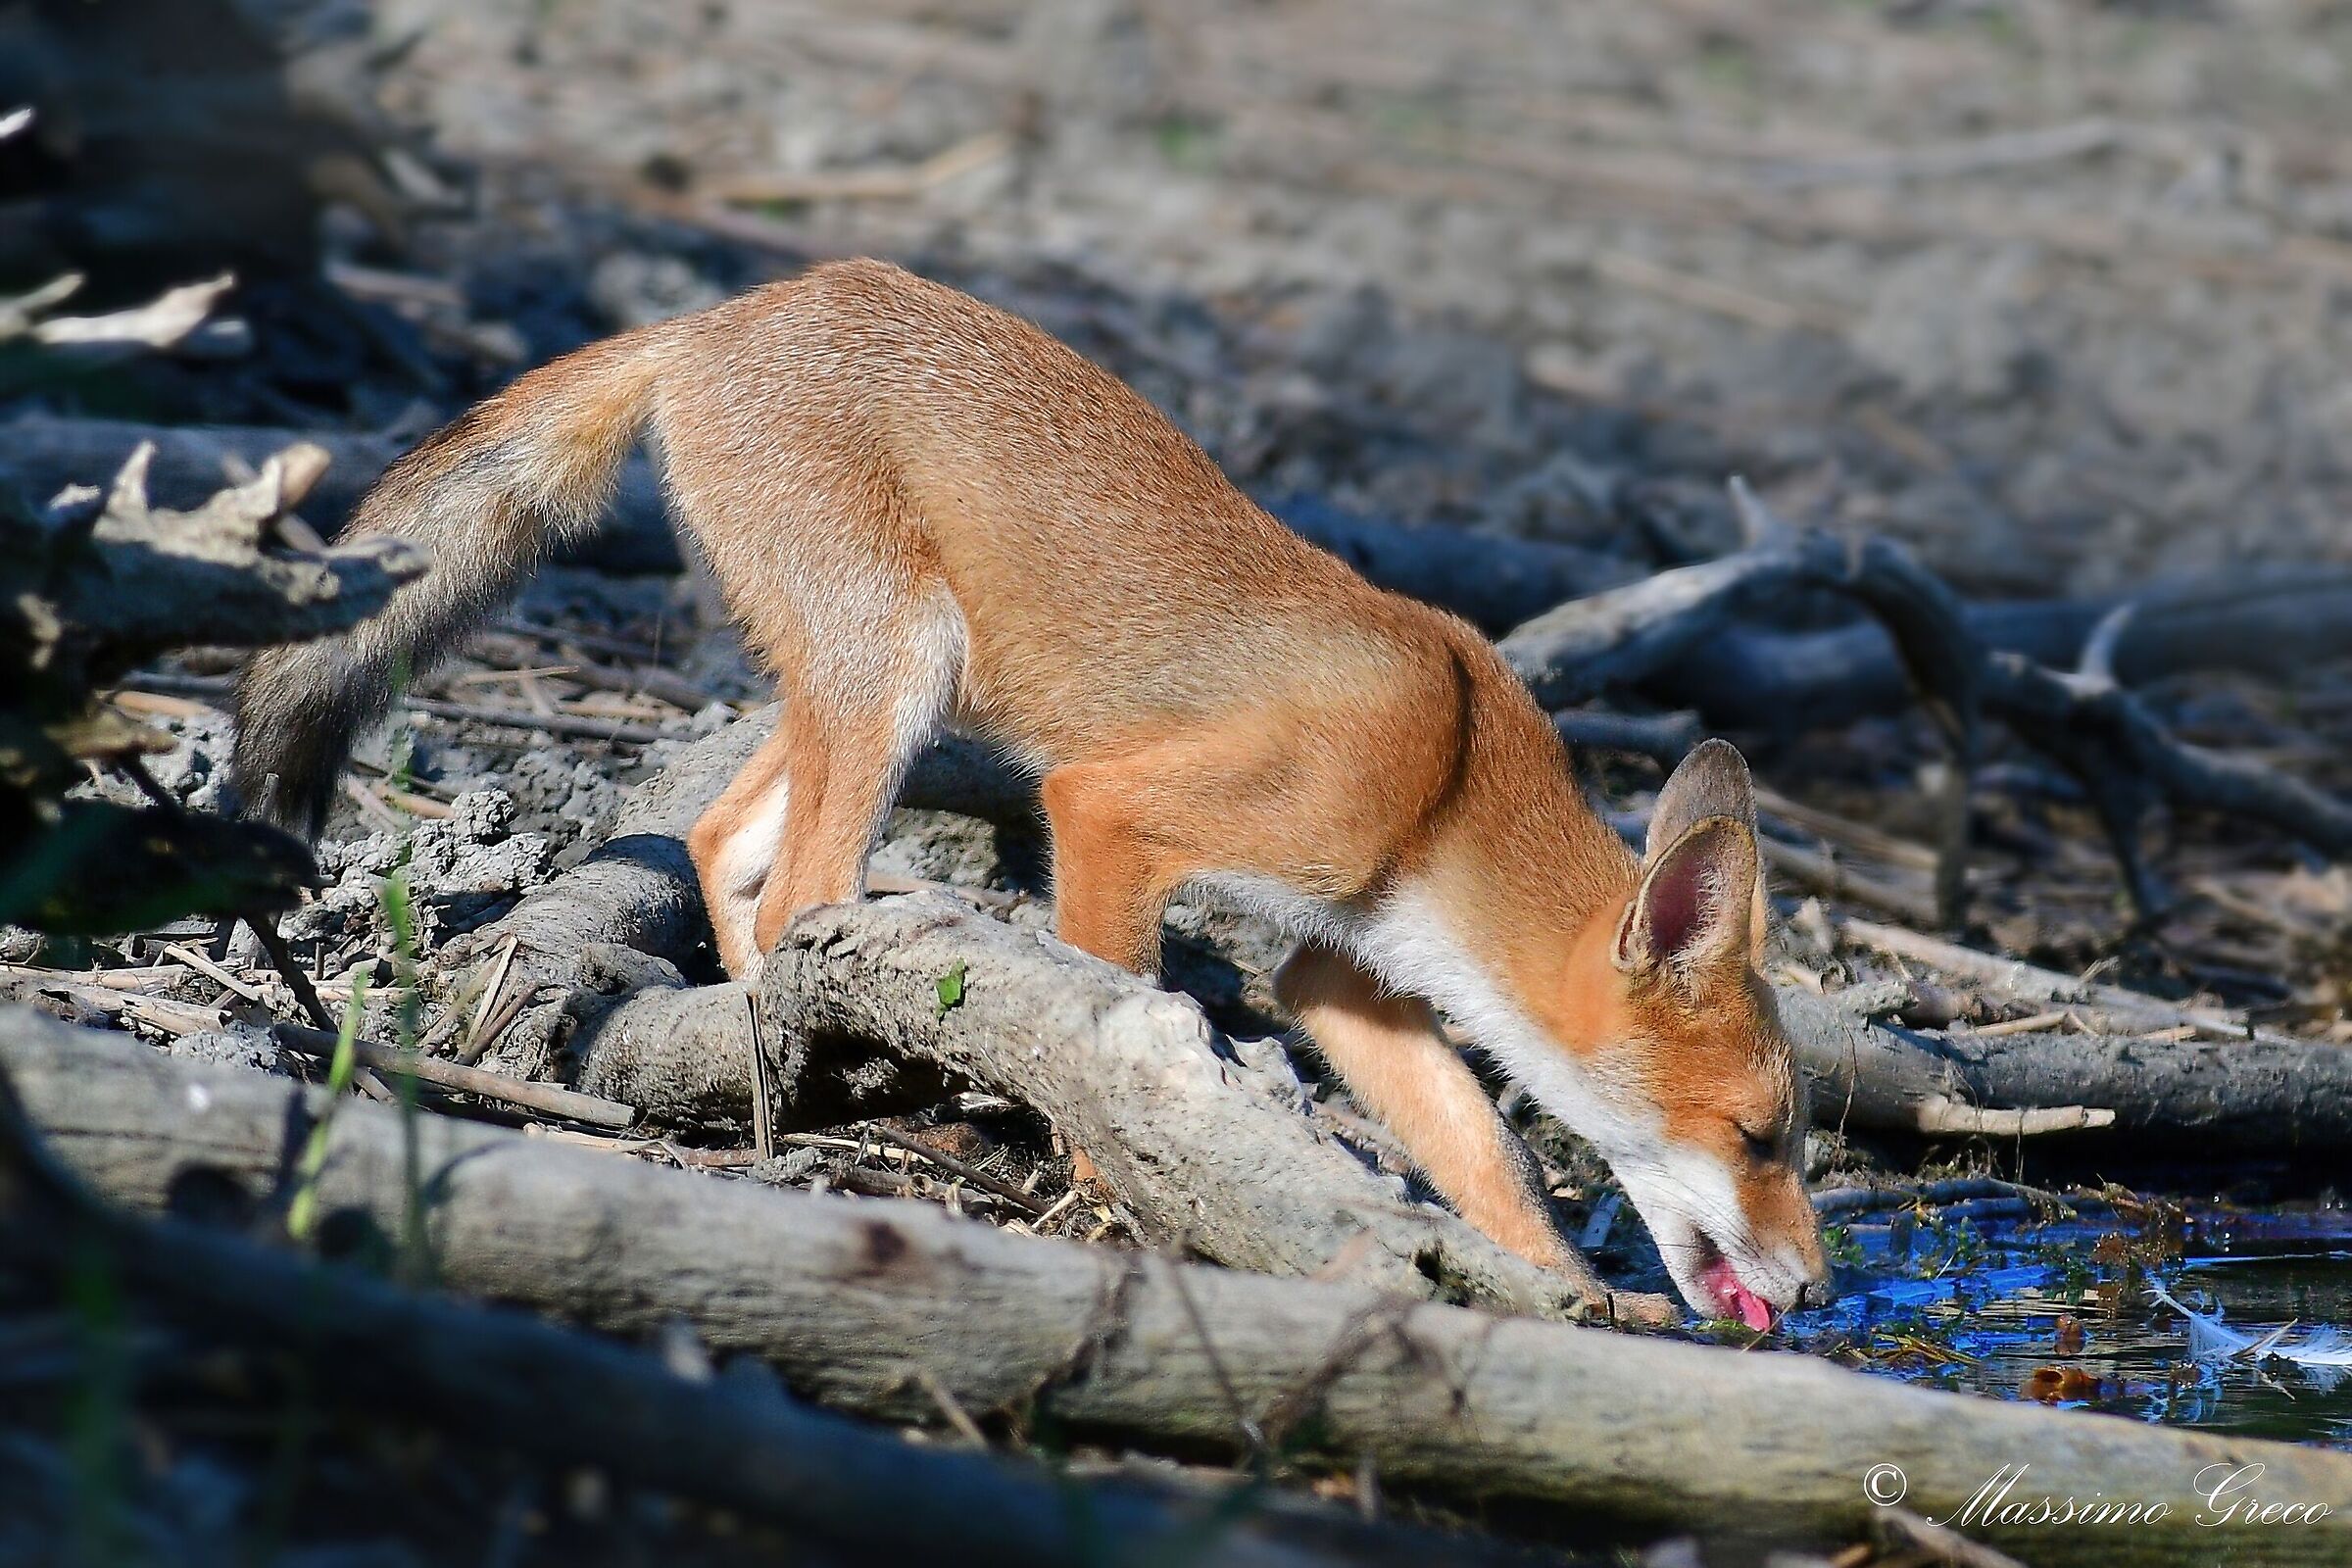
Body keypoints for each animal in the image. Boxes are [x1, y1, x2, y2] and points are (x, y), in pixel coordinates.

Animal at [232, 258, 1828, 1327]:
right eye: (1764, 1138)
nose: (1816, 1290)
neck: (1448, 775)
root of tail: (730, 312)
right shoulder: (1111, 812)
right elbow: (1121, 1025)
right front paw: (1117, 1194)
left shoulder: (1336, 961)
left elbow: (1487, 1153)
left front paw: (1562, 1290)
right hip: (902, 666)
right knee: (805, 885)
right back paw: (823, 1060)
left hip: (863, 685)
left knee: (719, 841)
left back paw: (763, 1038)